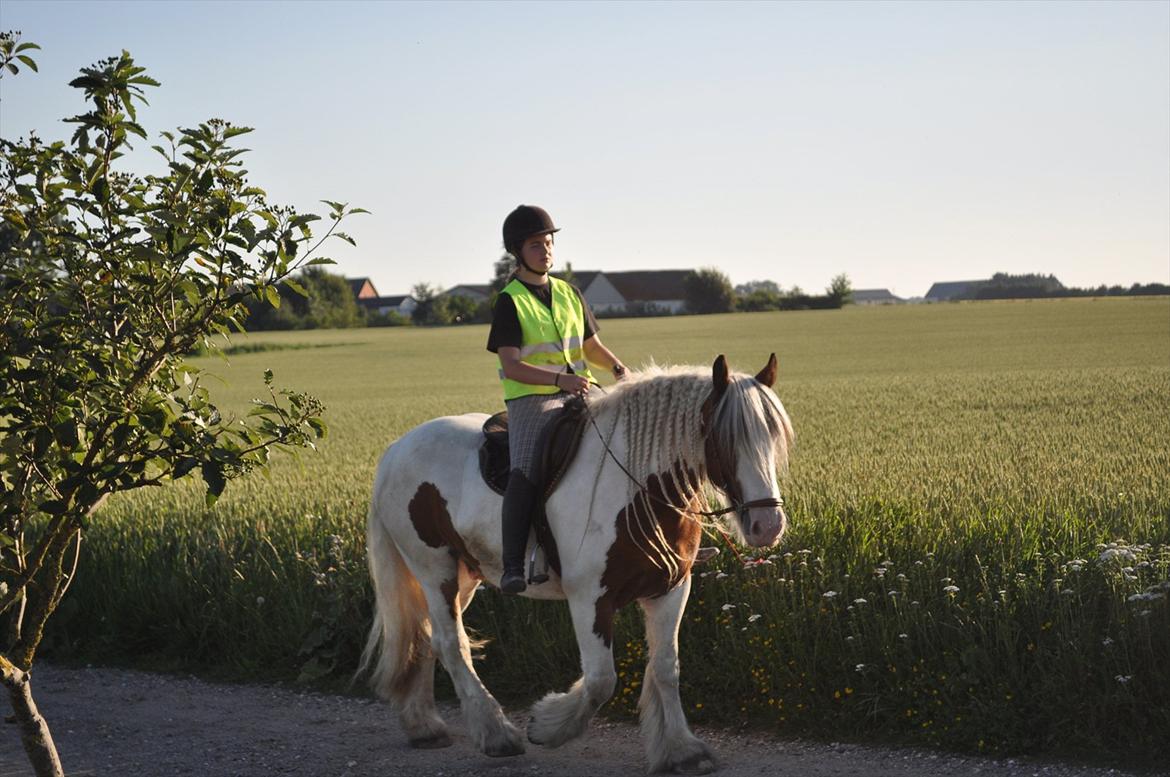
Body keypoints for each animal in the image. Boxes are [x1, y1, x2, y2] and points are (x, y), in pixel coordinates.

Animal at [355, 355, 795, 772]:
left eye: (773, 436)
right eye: (724, 438)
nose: (767, 525)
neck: (639, 490)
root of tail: (395, 449)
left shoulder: (670, 589)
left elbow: (666, 668)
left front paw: (682, 751)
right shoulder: (589, 598)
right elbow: (601, 679)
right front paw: (548, 725)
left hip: (466, 575)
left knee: (427, 636)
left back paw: (423, 726)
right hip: (435, 571)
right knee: (451, 642)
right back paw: (496, 734)